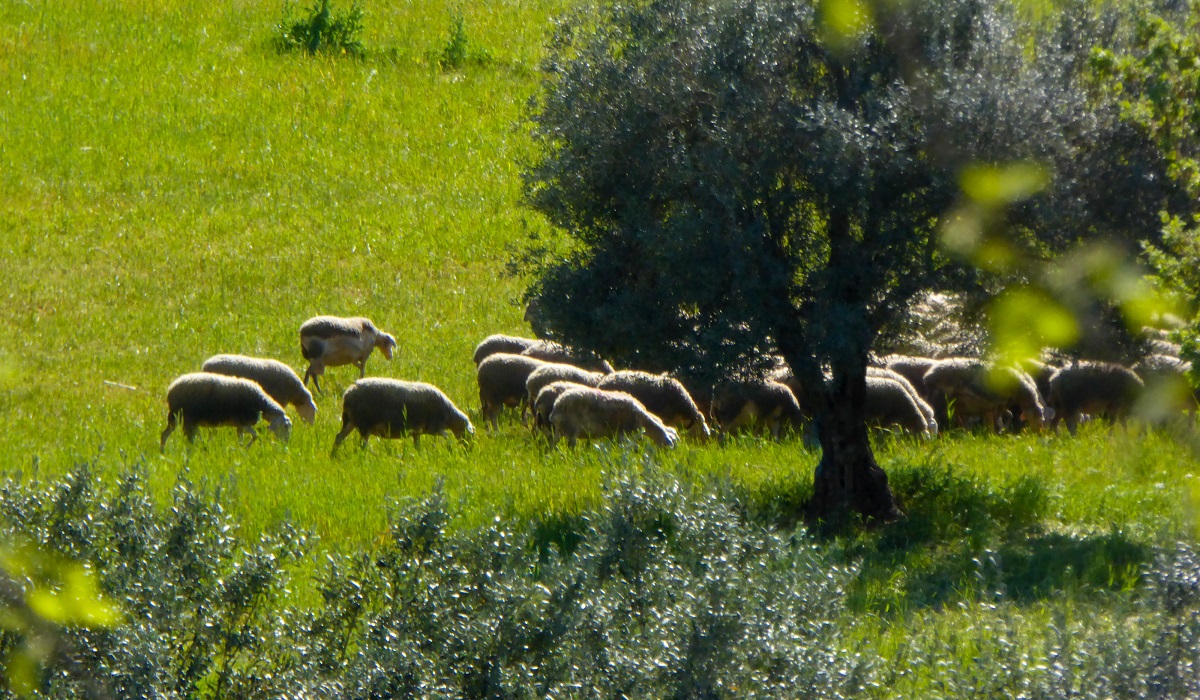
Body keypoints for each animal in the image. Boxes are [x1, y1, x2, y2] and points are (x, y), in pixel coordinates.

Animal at [160, 369, 291, 451]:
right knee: (184, 438)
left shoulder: (240, 426)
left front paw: (240, 450)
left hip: (180, 417)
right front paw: (246, 448)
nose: (285, 444)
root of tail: (171, 389)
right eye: (285, 426)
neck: (260, 403)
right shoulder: (244, 422)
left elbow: (242, 439)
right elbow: (256, 436)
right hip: (186, 417)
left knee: (166, 434)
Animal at [333, 377, 477, 453]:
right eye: (471, 436)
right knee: (362, 445)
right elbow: (447, 437)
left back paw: (334, 456)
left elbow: (417, 446)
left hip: (351, 421)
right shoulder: (434, 428)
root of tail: (348, 393)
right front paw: (450, 449)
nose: (469, 451)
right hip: (365, 424)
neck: (449, 415)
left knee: (339, 437)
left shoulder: (417, 431)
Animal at [549, 384, 681, 449]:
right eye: (671, 442)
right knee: (571, 444)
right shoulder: (624, 434)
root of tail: (557, 406)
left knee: (553, 443)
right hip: (572, 428)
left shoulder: (615, 435)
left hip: (560, 428)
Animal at [916, 362, 1051, 432]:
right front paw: (998, 432)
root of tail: (928, 375)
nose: (1040, 433)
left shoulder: (998, 404)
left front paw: (999, 430)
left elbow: (1006, 416)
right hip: (942, 398)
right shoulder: (997, 403)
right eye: (1039, 419)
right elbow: (1000, 419)